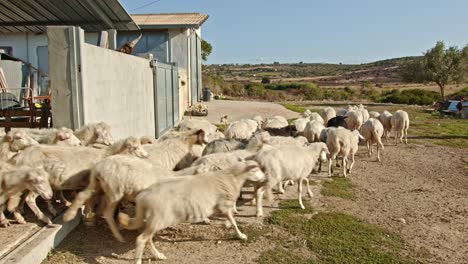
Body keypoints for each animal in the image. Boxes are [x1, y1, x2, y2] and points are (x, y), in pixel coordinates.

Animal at [117, 161, 266, 262]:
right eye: (256, 169)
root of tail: (142, 197)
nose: (265, 178)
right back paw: (139, 260)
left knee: (147, 239)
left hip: (154, 221)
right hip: (158, 219)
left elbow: (229, 219)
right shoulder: (224, 205)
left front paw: (226, 225)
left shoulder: (220, 207)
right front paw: (241, 235)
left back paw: (159, 255)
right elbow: (234, 222)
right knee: (141, 239)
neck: (232, 178)